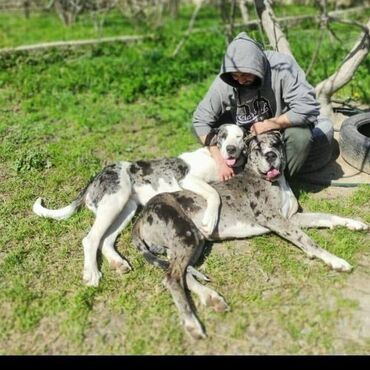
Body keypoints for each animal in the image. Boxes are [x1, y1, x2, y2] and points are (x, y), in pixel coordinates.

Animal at [31, 124, 246, 286]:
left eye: (240, 137)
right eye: (223, 136)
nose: (231, 149)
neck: (215, 160)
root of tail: (96, 177)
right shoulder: (188, 179)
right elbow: (214, 193)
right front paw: (210, 220)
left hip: (126, 209)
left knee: (105, 240)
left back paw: (118, 263)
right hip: (114, 202)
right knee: (90, 239)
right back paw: (92, 273)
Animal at [132, 131, 368, 342]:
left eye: (276, 143)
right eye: (256, 148)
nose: (270, 155)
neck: (273, 181)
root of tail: (141, 216)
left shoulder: (293, 217)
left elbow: (326, 216)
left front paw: (354, 223)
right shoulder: (274, 219)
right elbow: (307, 240)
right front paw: (335, 260)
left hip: (193, 242)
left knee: (181, 275)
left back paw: (211, 298)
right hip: (185, 238)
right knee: (171, 278)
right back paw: (192, 323)